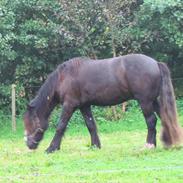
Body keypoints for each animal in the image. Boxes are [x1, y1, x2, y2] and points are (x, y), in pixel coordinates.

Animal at [23, 53, 183, 153]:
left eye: (29, 123)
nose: (29, 145)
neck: (64, 77)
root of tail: (155, 63)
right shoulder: (84, 106)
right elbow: (91, 125)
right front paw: (95, 146)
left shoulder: (69, 105)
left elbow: (61, 126)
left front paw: (52, 148)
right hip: (153, 101)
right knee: (164, 117)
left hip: (145, 102)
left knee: (151, 121)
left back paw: (149, 145)